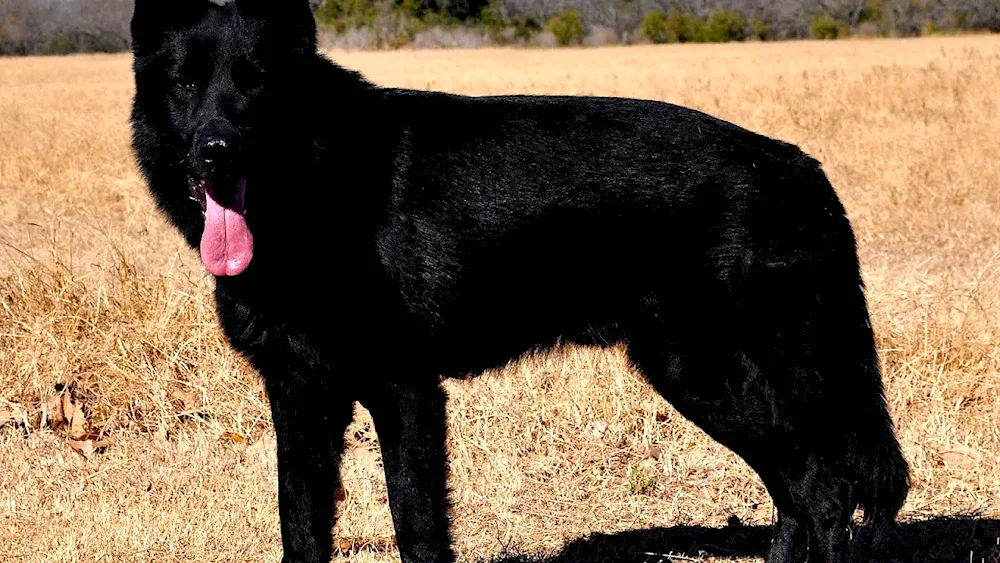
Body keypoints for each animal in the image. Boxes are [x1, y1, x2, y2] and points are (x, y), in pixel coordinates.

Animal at [129, 2, 912, 560]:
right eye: (185, 81)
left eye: (258, 79)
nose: (217, 151)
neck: (320, 185)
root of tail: (799, 166)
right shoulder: (299, 396)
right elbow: (301, 526)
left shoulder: (403, 392)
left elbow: (417, 526)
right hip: (708, 381)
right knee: (798, 496)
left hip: (709, 376)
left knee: (824, 491)